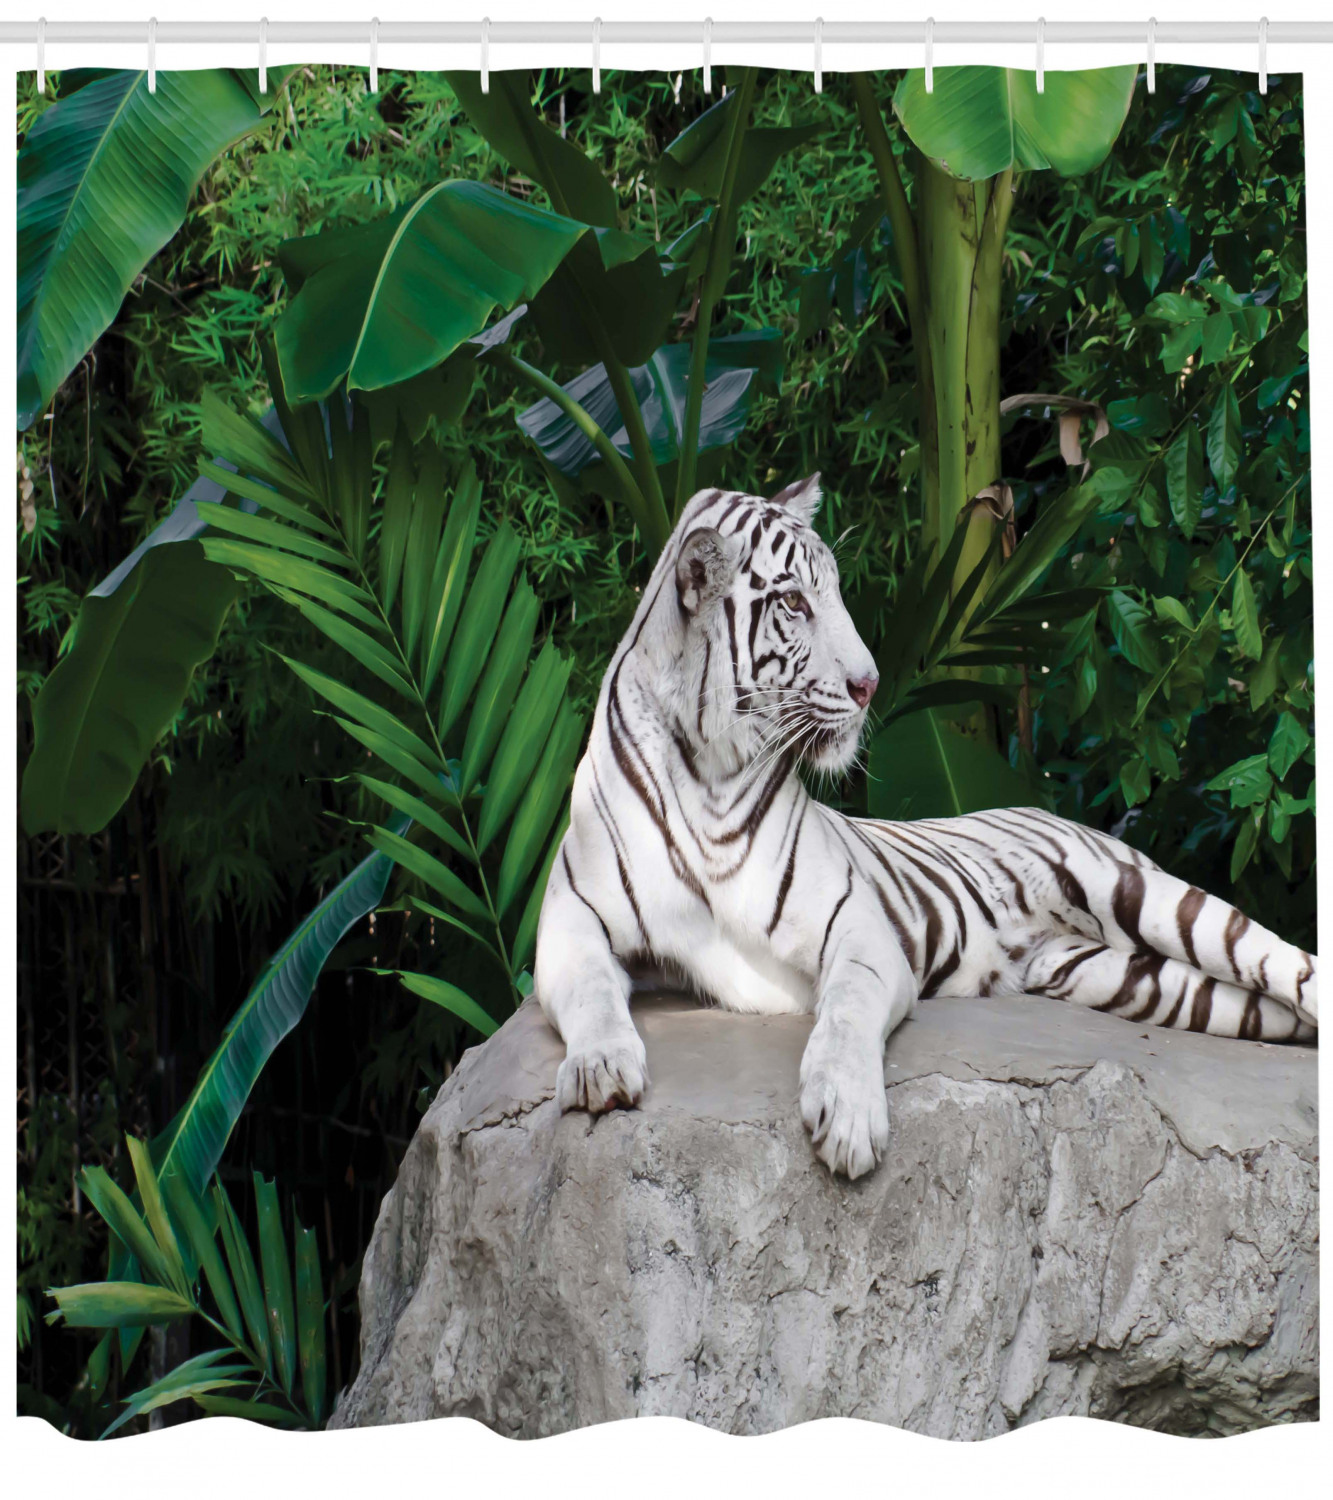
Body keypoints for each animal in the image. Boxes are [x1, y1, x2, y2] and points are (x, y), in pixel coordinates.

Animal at [533, 476, 1318, 1180]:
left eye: (836, 593)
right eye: (793, 602)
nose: (869, 685)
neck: (708, 775)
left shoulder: (856, 925)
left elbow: (846, 1011)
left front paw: (847, 1117)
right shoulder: (570, 918)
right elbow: (593, 990)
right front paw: (599, 1068)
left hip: (1147, 898)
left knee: (1290, 964)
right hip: (1134, 979)